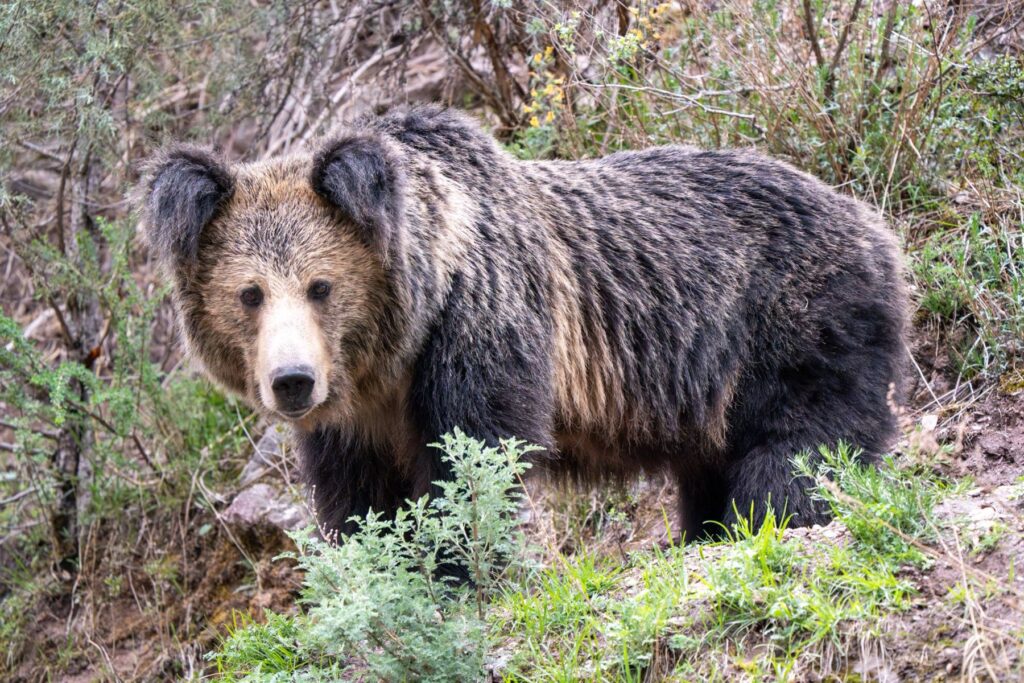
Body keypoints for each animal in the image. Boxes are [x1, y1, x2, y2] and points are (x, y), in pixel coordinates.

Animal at [141, 105, 907, 542]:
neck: (394, 354)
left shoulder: (483, 327)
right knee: (712, 470)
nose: (293, 381)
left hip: (792, 319)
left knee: (800, 445)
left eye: (320, 286)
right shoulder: (354, 420)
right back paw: (708, 531)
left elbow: (475, 459)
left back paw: (777, 518)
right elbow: (359, 498)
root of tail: (871, 219)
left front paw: (455, 567)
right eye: (249, 293)